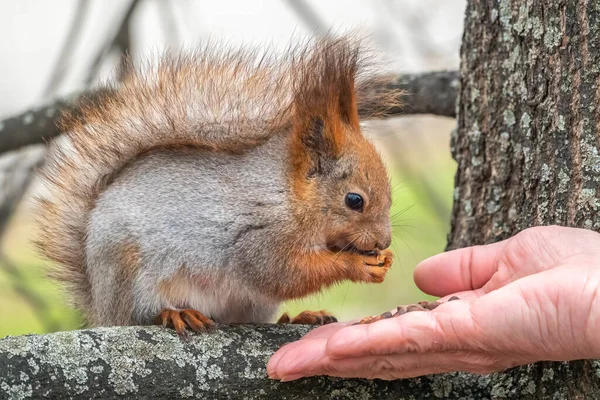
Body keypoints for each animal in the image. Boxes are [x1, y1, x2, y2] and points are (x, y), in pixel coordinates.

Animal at [35, 37, 396, 336]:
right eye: (354, 200)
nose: (384, 241)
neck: (289, 195)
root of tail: (101, 307)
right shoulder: (258, 237)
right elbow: (280, 273)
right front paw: (356, 265)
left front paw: (379, 260)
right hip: (129, 272)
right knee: (141, 314)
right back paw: (175, 314)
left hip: (251, 304)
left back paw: (297, 318)